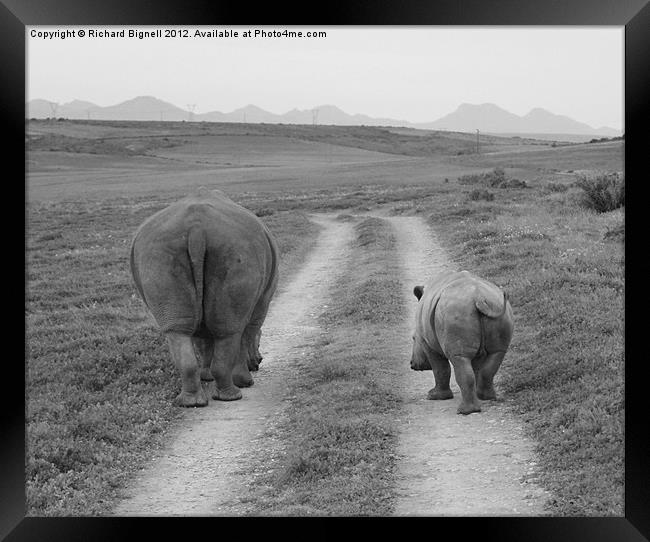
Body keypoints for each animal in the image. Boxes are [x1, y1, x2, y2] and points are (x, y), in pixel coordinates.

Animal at [128, 189, 276, 406]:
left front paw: (207, 376)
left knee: (178, 330)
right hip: (236, 248)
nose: (259, 361)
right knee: (229, 330)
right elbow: (247, 333)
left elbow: (203, 341)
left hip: (157, 252)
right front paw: (245, 380)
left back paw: (191, 402)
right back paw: (234, 394)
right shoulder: (262, 303)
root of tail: (196, 230)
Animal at [410, 270, 512, 416]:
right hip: (496, 308)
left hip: (455, 313)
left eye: (413, 338)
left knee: (459, 358)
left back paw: (465, 411)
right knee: (497, 353)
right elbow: (476, 367)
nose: (412, 364)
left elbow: (440, 368)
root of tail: (479, 298)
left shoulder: (426, 343)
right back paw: (486, 397)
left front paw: (434, 396)